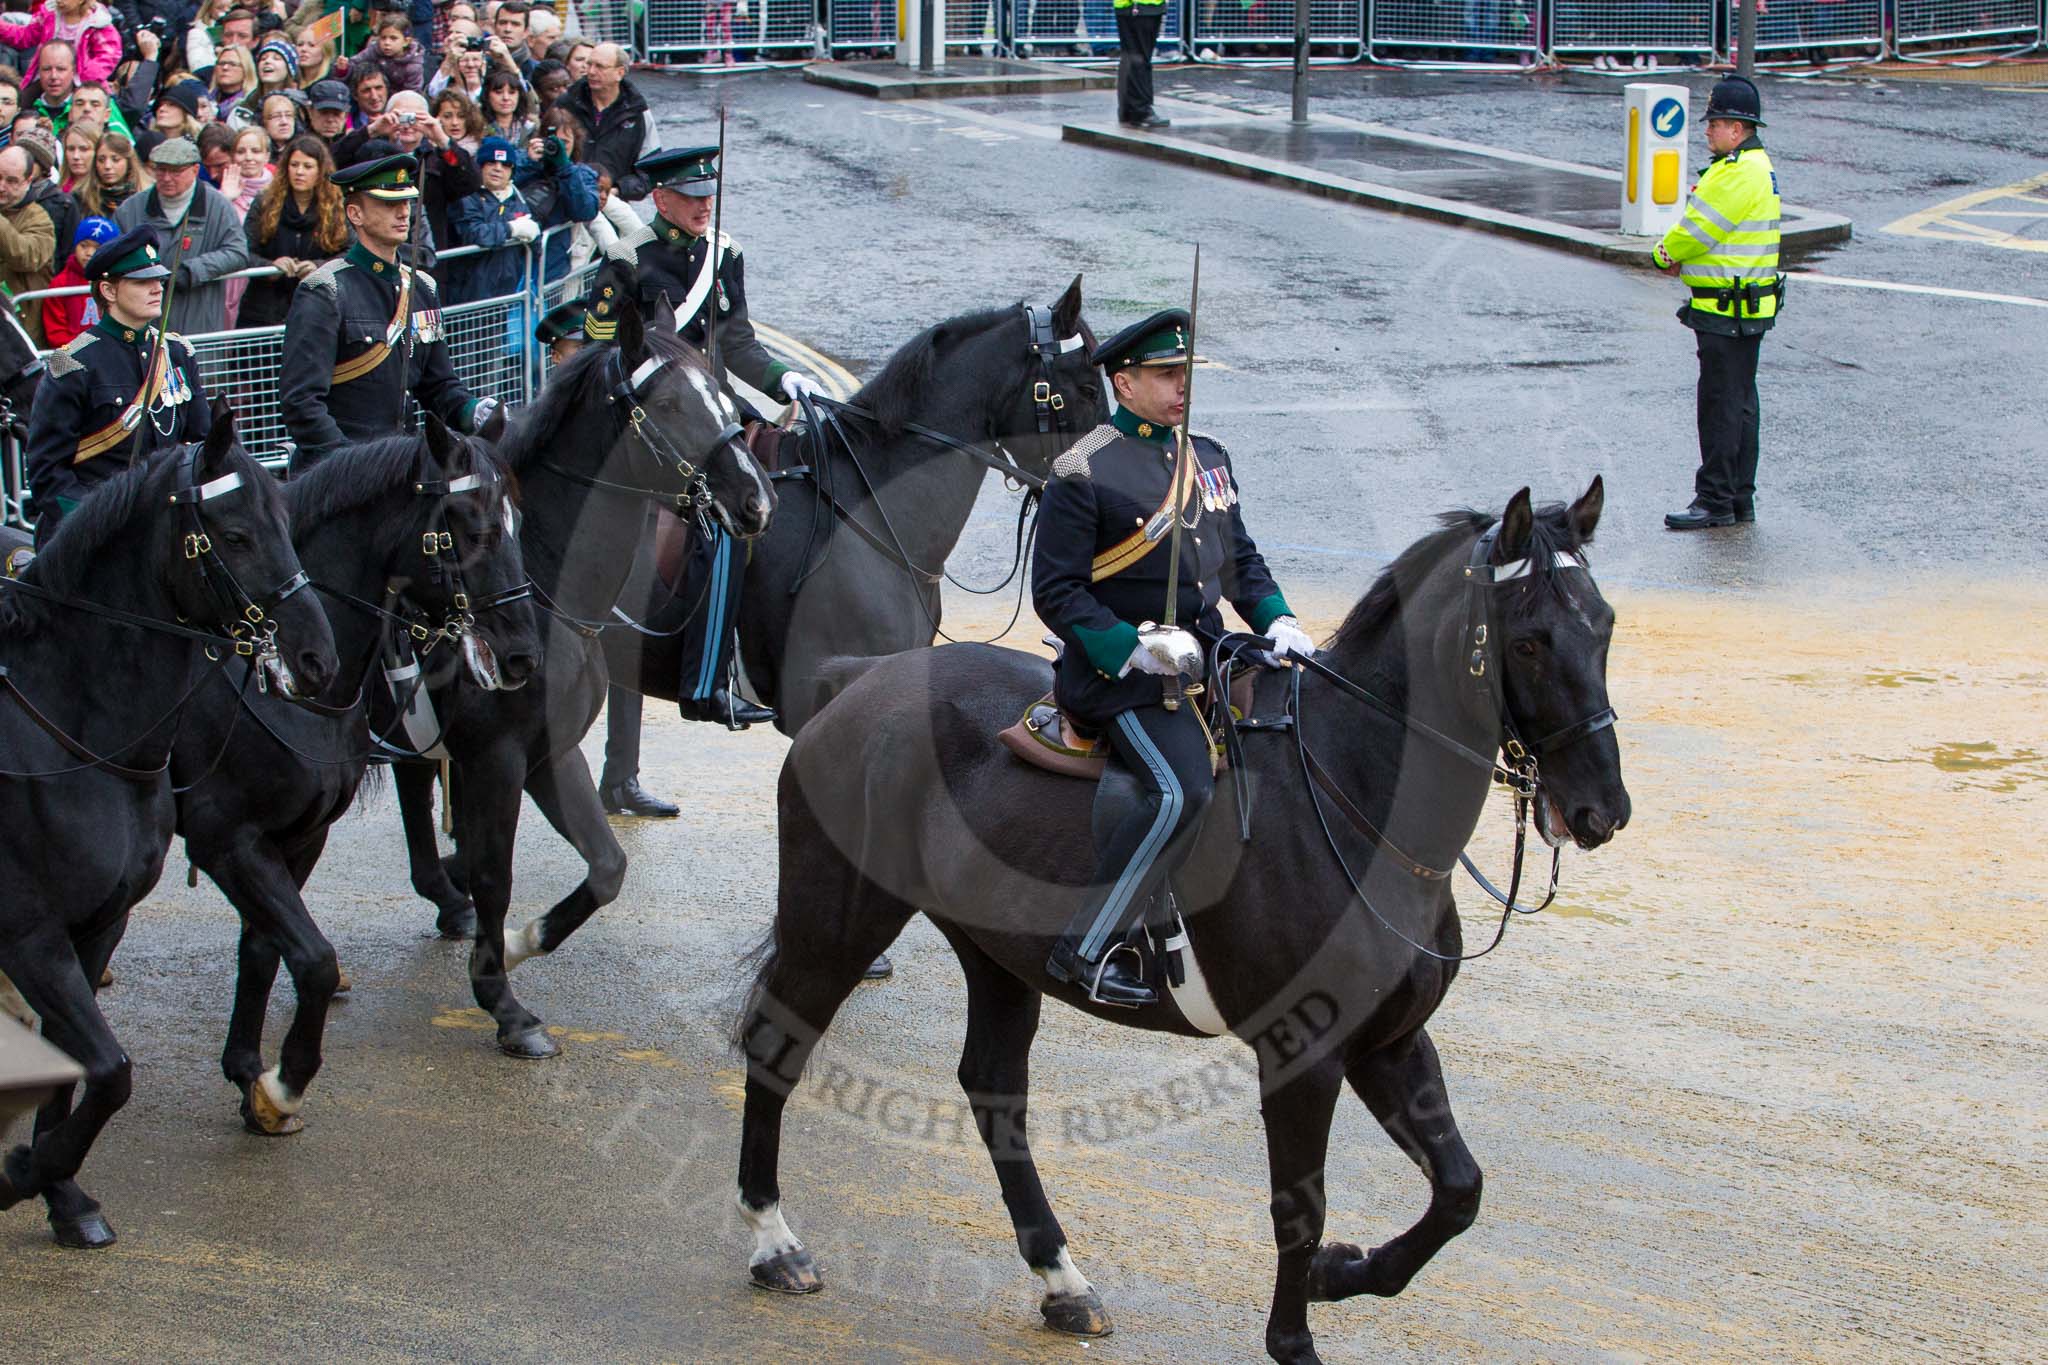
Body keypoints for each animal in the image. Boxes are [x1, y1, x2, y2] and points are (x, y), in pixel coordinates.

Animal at [0, 417, 339, 1252]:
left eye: (289, 523)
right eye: (236, 532)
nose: (317, 658)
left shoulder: (98, 924)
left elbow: (83, 1069)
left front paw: (63, 1195)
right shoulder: (31, 935)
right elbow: (111, 1069)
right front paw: (21, 1174)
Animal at [177, 419, 544, 1146]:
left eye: (519, 521)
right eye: (469, 525)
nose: (522, 654)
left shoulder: (297, 832)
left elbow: (263, 947)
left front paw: (252, 1079)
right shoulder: (228, 837)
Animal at [382, 278, 770, 1064]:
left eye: (723, 394)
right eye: (673, 406)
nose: (756, 501)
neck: (542, 584)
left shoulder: (547, 752)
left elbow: (608, 866)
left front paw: (524, 941)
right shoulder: (498, 758)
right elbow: (496, 873)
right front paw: (504, 1002)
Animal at [737, 480, 1630, 1365]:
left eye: (1605, 624)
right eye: (1529, 642)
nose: (1602, 809)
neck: (1357, 800)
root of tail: (860, 679)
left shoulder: (1388, 1040)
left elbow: (1459, 1190)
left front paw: (1343, 1272)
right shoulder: (1302, 1054)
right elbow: (1300, 1206)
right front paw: (1295, 1337)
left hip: (996, 955)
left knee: (993, 1088)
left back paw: (1063, 1281)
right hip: (836, 921)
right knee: (776, 1047)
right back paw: (774, 1243)